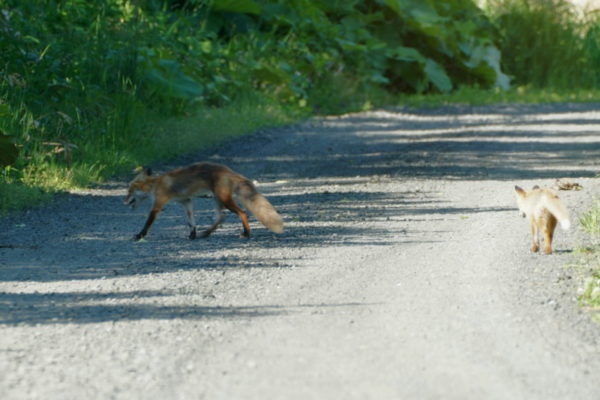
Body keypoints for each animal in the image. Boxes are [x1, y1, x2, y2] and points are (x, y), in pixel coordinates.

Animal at [124, 162, 284, 241]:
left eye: (129, 191)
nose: (123, 201)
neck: (155, 184)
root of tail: (228, 171)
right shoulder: (186, 201)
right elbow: (191, 222)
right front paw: (192, 235)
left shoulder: (158, 204)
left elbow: (147, 223)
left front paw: (139, 236)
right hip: (218, 200)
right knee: (221, 217)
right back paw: (206, 233)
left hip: (224, 200)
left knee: (242, 213)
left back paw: (246, 233)